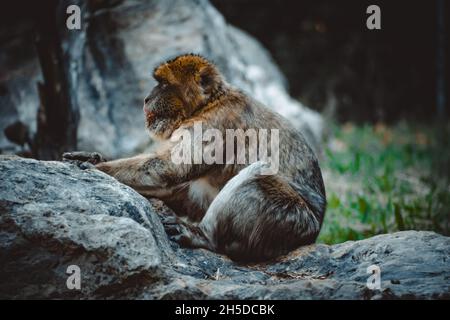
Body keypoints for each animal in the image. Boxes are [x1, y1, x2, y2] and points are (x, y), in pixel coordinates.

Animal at [63, 53, 326, 262]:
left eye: (164, 84)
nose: (147, 98)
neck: (209, 102)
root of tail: (314, 233)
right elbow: (183, 191)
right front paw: (94, 158)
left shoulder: (213, 124)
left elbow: (169, 169)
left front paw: (96, 168)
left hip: (290, 220)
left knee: (257, 176)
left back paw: (205, 237)